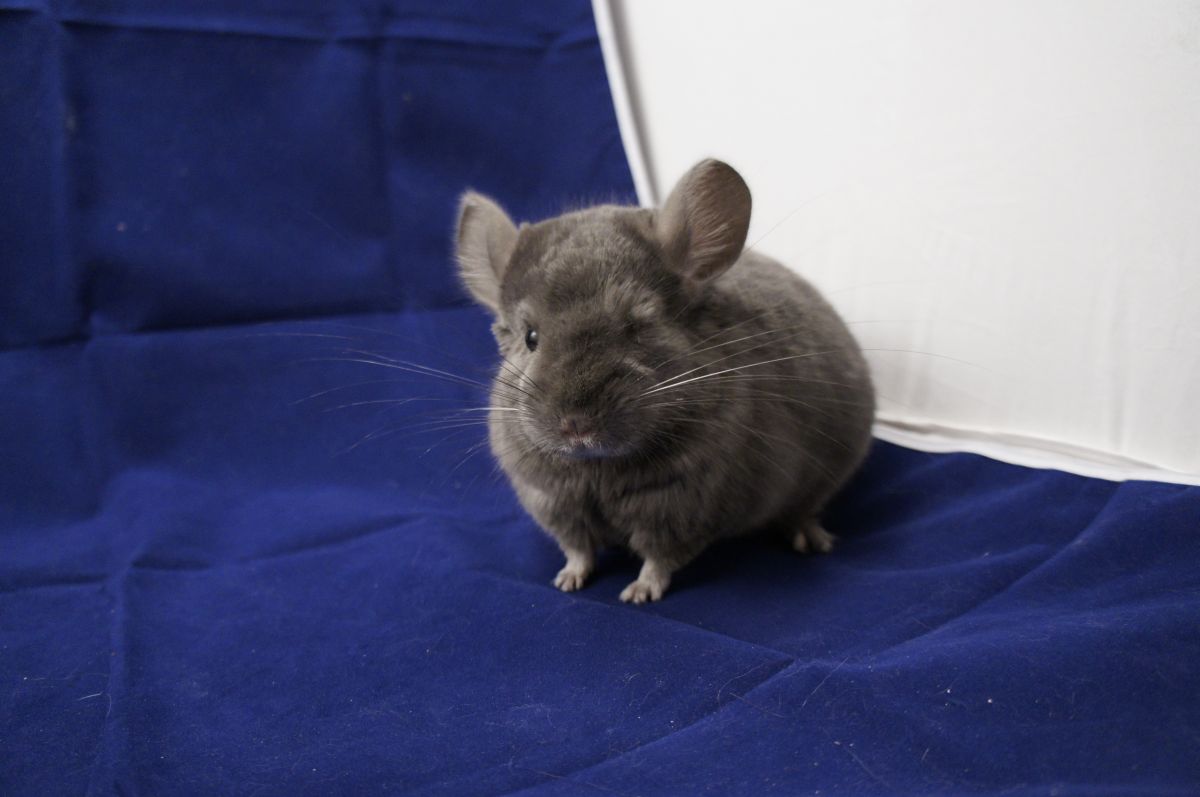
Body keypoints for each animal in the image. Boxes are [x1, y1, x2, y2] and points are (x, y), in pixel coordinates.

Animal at [453, 159, 874, 603]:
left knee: (805, 509)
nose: (576, 426)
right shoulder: (556, 506)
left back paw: (812, 539)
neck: (598, 468)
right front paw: (567, 580)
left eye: (637, 327)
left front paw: (638, 593)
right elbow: (579, 550)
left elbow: (659, 559)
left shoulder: (683, 509)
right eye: (530, 337)